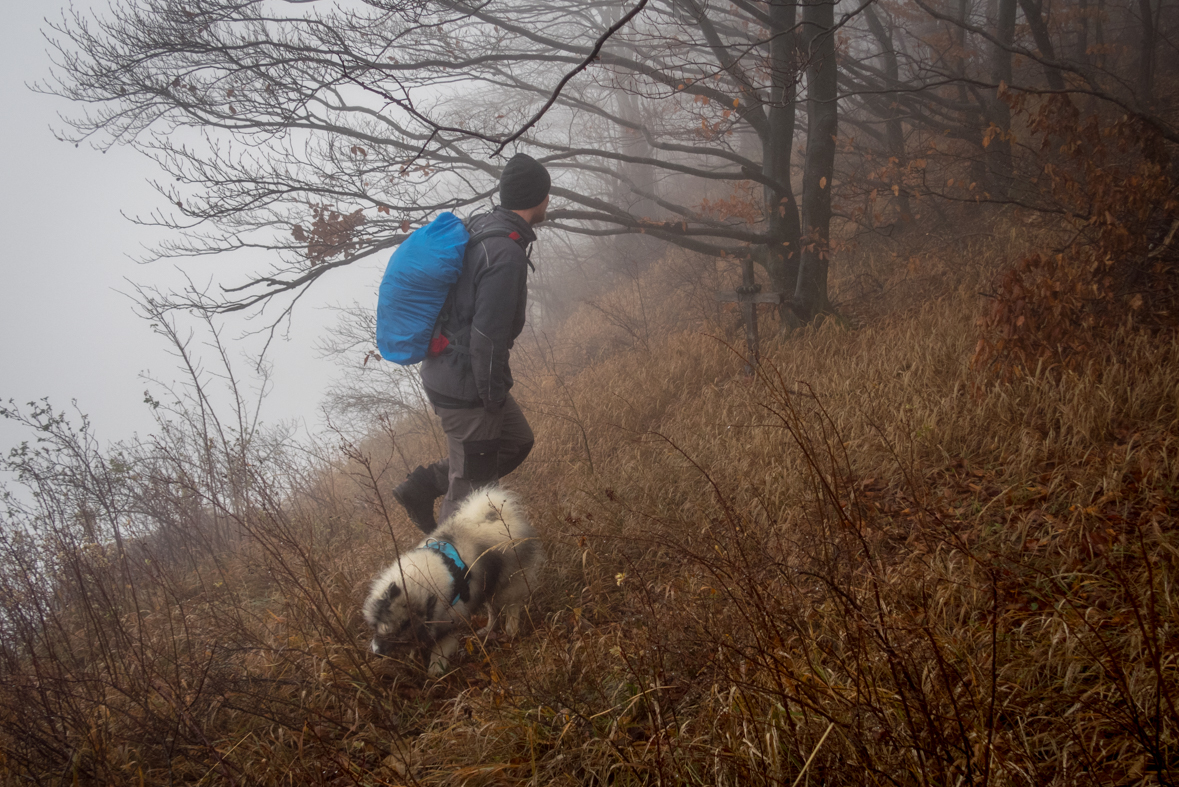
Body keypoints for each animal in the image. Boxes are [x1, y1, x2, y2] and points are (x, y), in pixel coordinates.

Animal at [360, 485, 539, 678]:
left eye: (402, 629)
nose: (378, 652)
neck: (420, 585)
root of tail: (499, 517)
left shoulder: (449, 625)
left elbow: (439, 650)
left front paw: (435, 670)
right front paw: (414, 657)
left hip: (506, 584)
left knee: (512, 606)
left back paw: (511, 631)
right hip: (487, 586)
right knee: (493, 611)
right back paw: (487, 630)